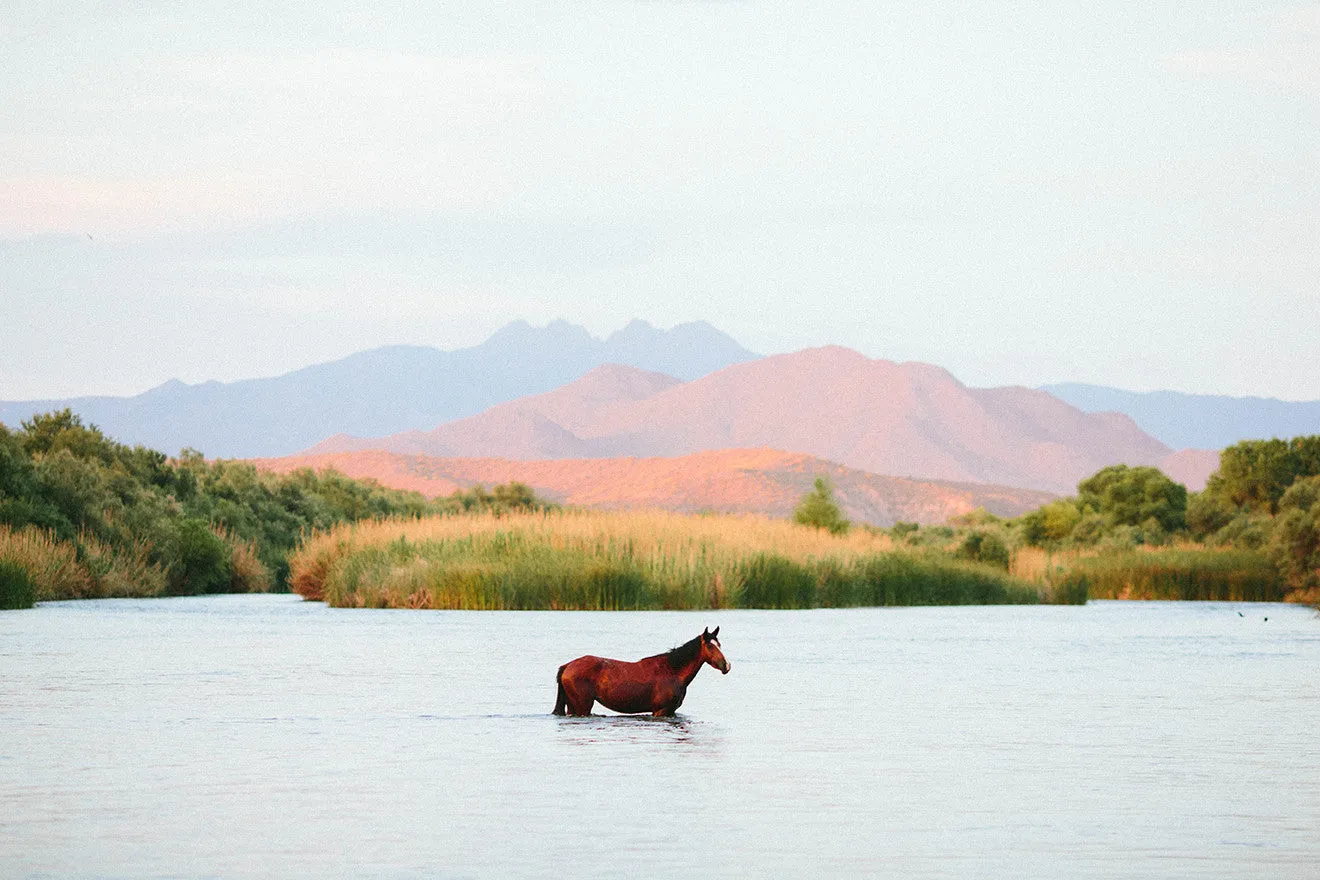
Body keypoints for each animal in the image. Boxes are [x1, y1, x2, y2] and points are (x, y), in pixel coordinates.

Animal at [549, 625, 728, 717]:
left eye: (719, 644)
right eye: (710, 646)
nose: (726, 666)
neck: (673, 671)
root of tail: (567, 666)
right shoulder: (661, 711)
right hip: (582, 705)